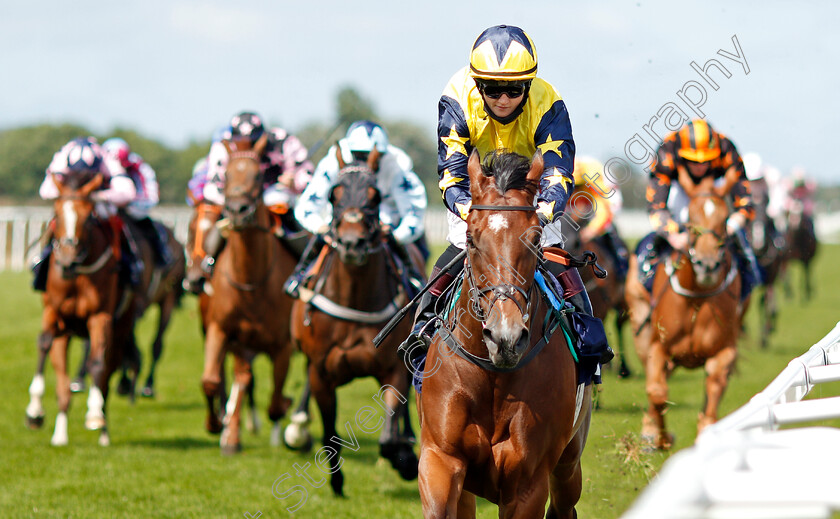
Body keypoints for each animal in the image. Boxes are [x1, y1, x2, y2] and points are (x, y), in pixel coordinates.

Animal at [25, 174, 138, 446]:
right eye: (57, 211)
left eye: (88, 217)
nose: (67, 259)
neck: (76, 274)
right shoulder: (53, 312)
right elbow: (44, 343)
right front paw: (34, 411)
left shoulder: (100, 316)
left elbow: (96, 363)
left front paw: (95, 413)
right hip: (65, 333)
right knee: (63, 384)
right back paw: (60, 435)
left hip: (121, 327)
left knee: (106, 372)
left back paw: (103, 430)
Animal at [200, 135, 296, 456]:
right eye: (226, 175)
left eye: (257, 176)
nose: (238, 210)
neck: (251, 282)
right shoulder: (221, 330)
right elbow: (210, 380)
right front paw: (216, 424)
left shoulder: (283, 345)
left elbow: (276, 399)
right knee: (241, 377)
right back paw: (231, 434)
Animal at [288, 148, 420, 498]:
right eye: (333, 195)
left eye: (375, 197)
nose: (351, 243)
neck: (355, 297)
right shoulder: (321, 371)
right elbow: (329, 435)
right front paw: (336, 483)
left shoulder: (392, 368)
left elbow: (388, 437)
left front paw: (406, 460)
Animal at [418, 150, 592, 519]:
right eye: (471, 239)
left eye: (537, 239)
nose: (505, 337)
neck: (493, 377)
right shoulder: (440, 459)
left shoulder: (527, 483)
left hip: (570, 462)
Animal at [628, 171, 740, 450]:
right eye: (690, 219)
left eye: (725, 219)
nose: (707, 265)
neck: (696, 298)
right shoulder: (658, 346)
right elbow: (657, 392)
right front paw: (662, 438)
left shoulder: (725, 350)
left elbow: (714, 382)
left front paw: (706, 433)